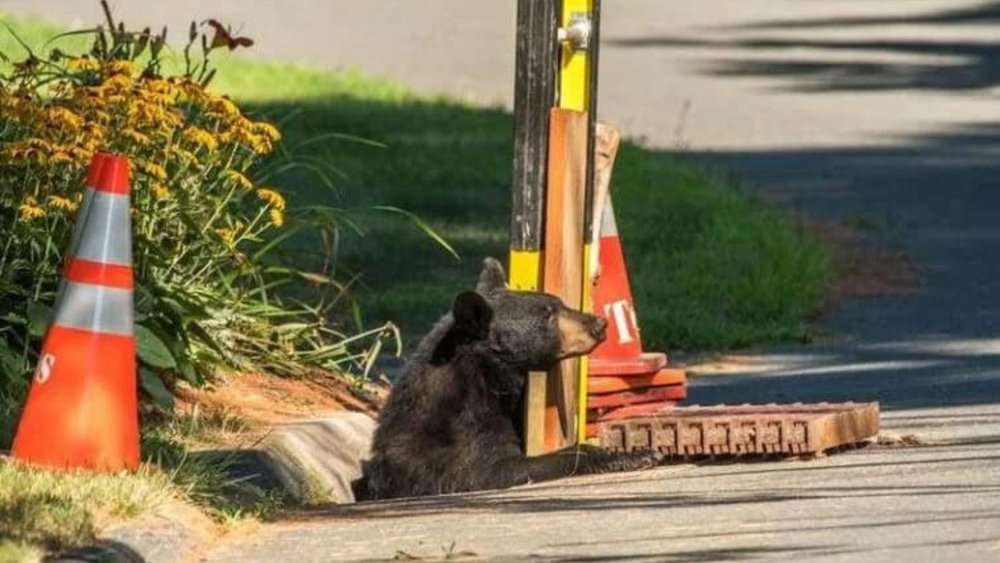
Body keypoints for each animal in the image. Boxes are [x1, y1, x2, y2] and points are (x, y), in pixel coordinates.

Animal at [356, 257, 659, 500]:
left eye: (560, 303)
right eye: (548, 315)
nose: (599, 324)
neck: (485, 377)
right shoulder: (458, 440)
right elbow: (495, 468)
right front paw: (632, 455)